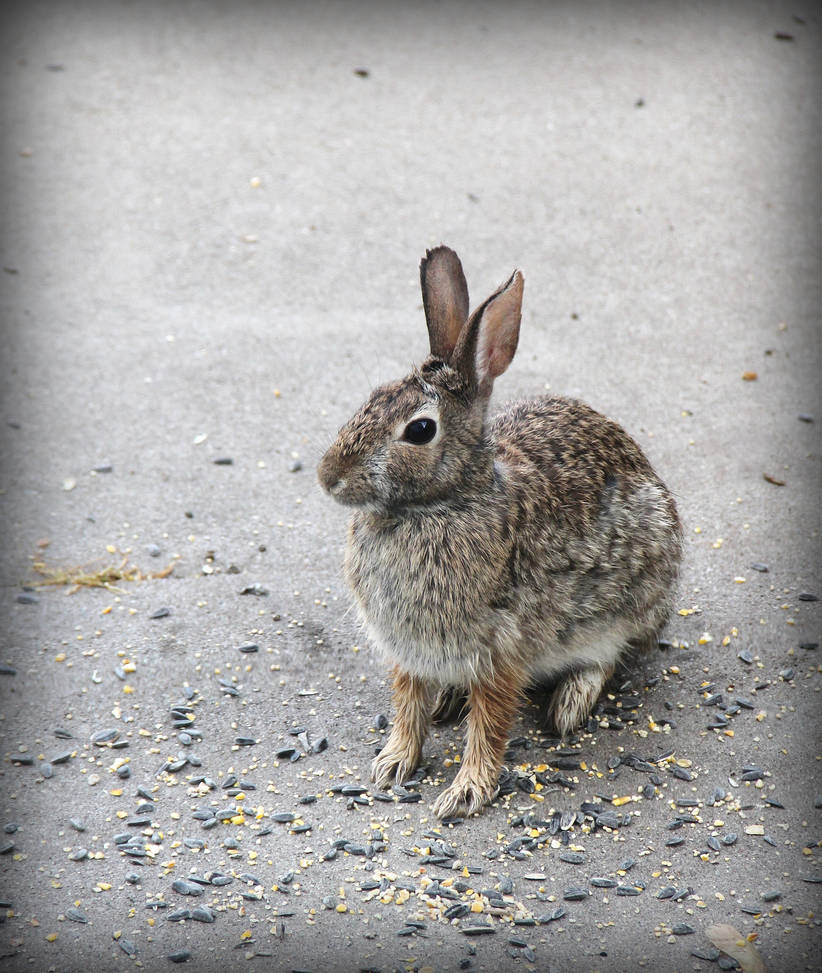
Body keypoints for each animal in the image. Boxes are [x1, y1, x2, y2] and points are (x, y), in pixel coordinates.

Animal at [317, 245, 682, 819]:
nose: (327, 475)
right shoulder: (410, 651)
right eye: (372, 396)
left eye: (420, 430)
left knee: (611, 655)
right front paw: (393, 763)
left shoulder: (500, 649)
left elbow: (488, 725)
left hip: (634, 599)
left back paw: (568, 704)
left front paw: (465, 792)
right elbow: (408, 705)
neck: (439, 504)